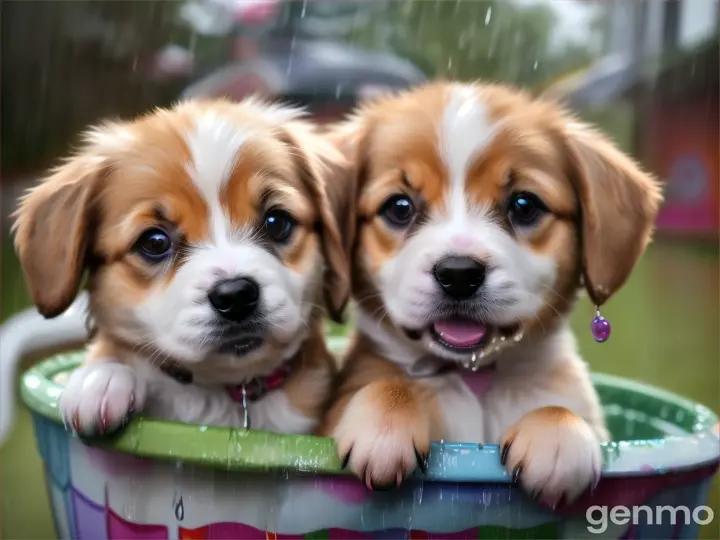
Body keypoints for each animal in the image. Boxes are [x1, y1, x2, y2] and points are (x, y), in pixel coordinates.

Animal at [320, 82, 664, 504]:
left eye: (524, 205)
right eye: (399, 207)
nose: (458, 274)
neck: (476, 381)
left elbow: (559, 410)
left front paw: (558, 436)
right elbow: (389, 387)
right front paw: (383, 426)